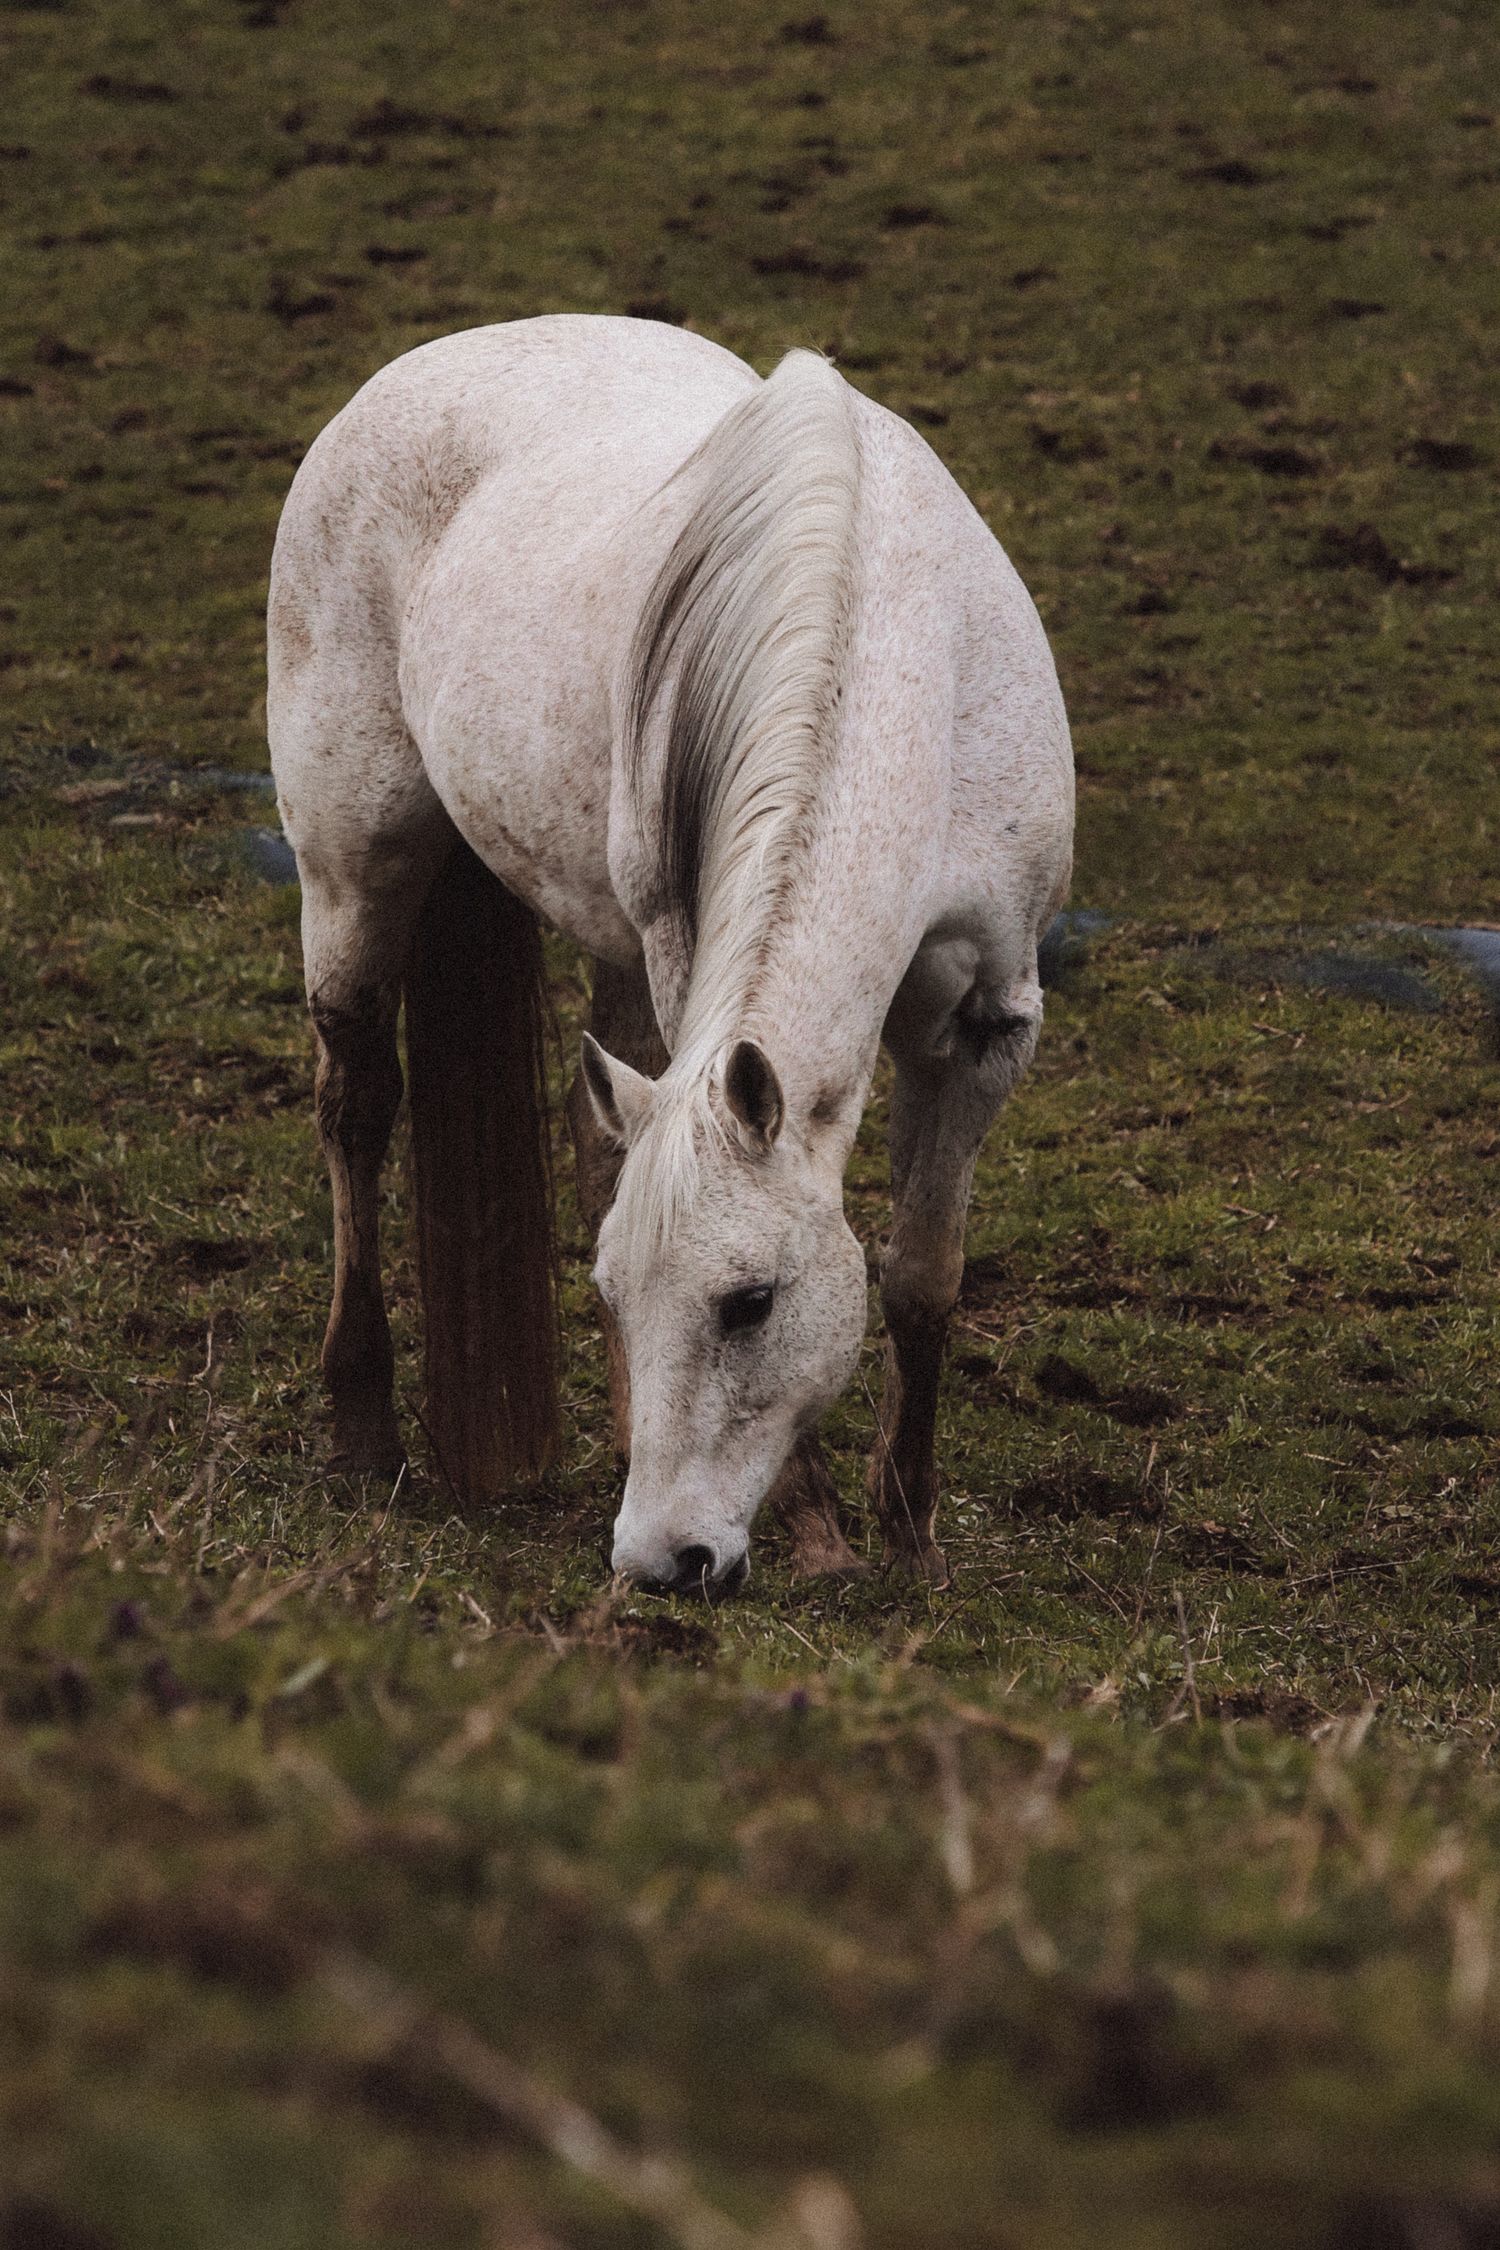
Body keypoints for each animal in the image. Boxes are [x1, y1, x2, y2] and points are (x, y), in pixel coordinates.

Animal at [267, 314, 1073, 1595]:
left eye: (750, 1303)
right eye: (610, 1289)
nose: (661, 1559)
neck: (898, 658)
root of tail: (429, 360)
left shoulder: (990, 1018)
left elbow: (922, 1274)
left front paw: (911, 1535)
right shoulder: (691, 956)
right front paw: (820, 1533)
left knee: (590, 1136)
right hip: (356, 864)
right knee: (356, 1101)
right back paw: (362, 1426)